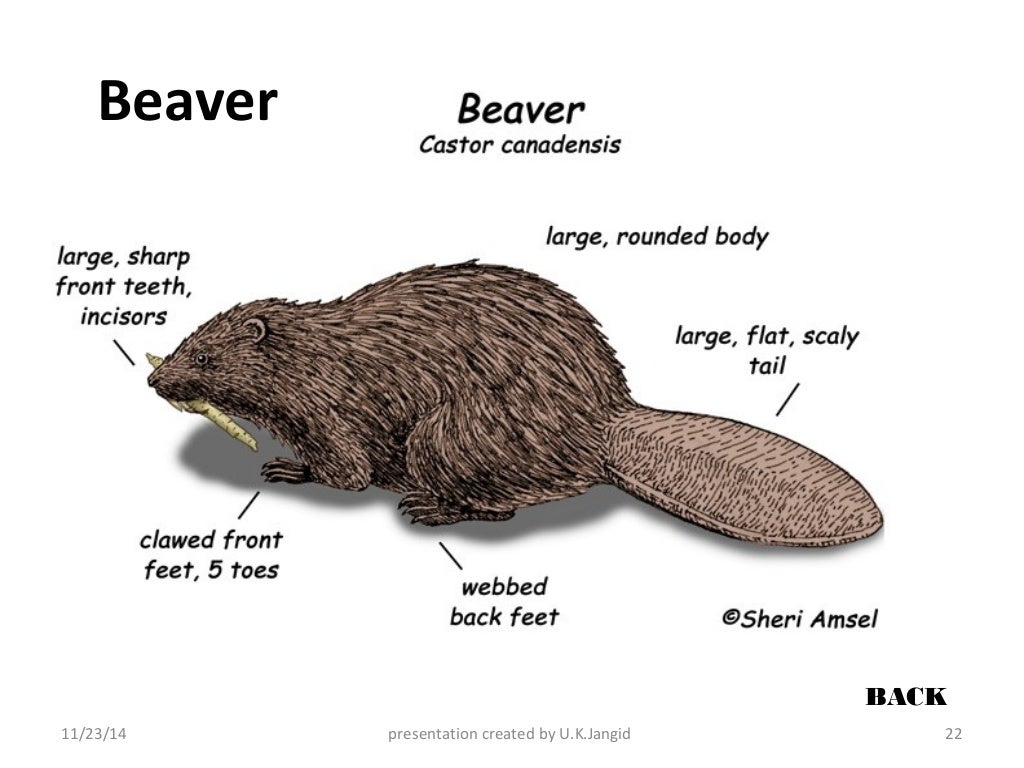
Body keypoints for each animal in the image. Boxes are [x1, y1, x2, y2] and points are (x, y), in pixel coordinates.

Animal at [148, 262, 882, 546]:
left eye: (205, 358)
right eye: (187, 344)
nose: (158, 382)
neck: (316, 350)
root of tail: (606, 426)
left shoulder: (332, 403)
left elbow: (346, 470)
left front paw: (285, 469)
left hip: (455, 434)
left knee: (498, 506)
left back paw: (430, 510)